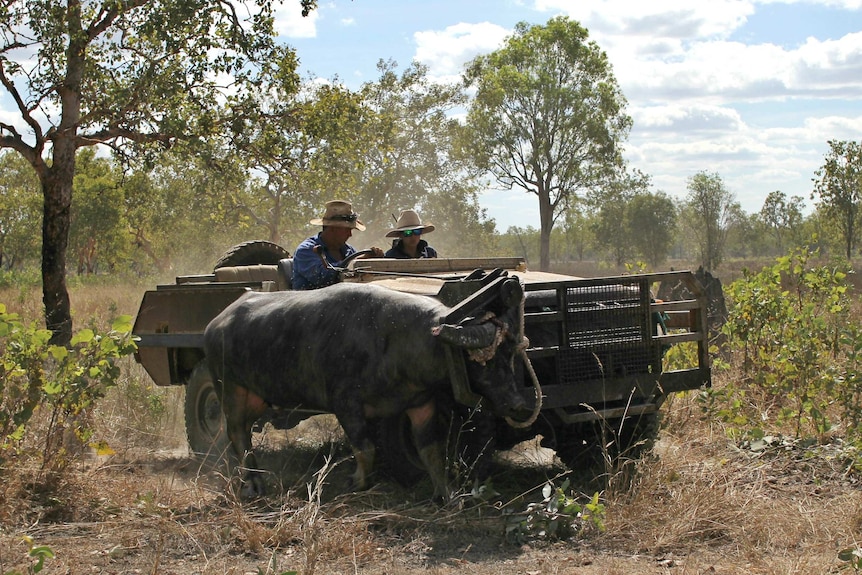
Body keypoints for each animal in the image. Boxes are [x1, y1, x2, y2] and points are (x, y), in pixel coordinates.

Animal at [204, 282, 528, 502]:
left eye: (510, 354)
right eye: (484, 360)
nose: (517, 405)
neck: (395, 341)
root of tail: (215, 324)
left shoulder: (422, 404)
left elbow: (432, 452)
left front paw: (446, 493)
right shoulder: (347, 405)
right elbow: (366, 448)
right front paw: (357, 482)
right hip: (230, 391)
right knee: (238, 435)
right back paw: (253, 484)